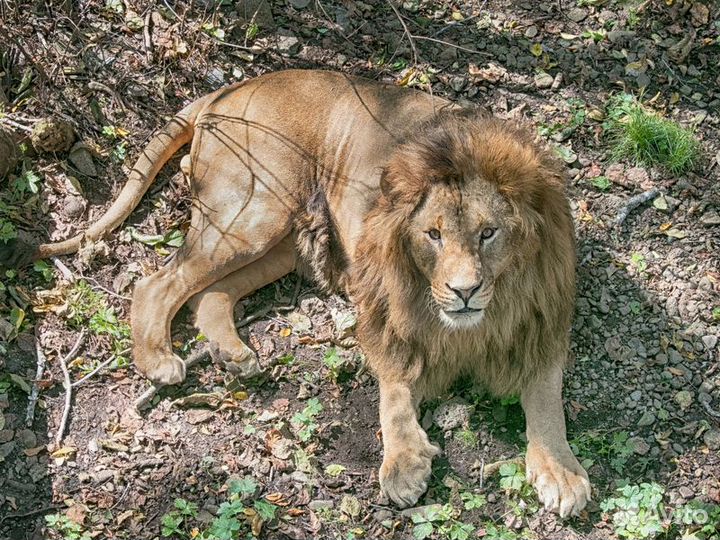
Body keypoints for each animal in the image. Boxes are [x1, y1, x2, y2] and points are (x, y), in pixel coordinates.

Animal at [25, 69, 592, 516]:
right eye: (432, 235)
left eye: (488, 233)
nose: (465, 291)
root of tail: (231, 87)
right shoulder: (387, 316)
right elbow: (394, 393)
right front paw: (403, 463)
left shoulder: (542, 326)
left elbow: (547, 401)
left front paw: (561, 471)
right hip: (252, 209)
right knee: (158, 281)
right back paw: (159, 360)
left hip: (276, 239)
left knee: (209, 294)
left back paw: (235, 355)